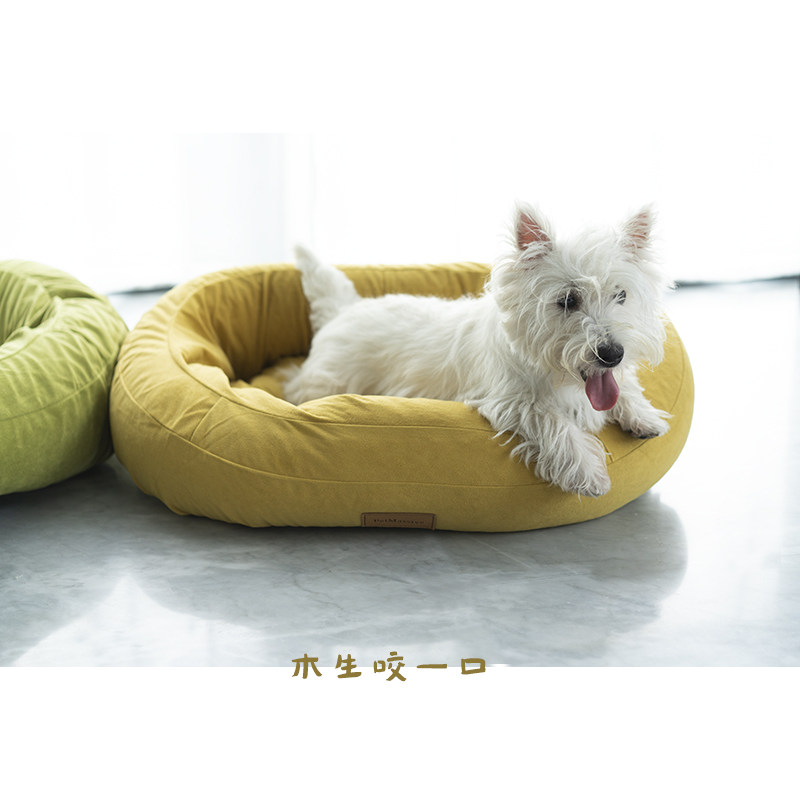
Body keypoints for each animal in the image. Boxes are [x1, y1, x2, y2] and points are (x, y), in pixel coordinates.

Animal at [283, 204, 671, 497]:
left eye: (621, 295)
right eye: (567, 300)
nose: (612, 353)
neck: (558, 376)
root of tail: (344, 310)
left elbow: (624, 387)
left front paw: (645, 417)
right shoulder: (515, 401)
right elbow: (557, 425)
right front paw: (590, 475)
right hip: (328, 378)